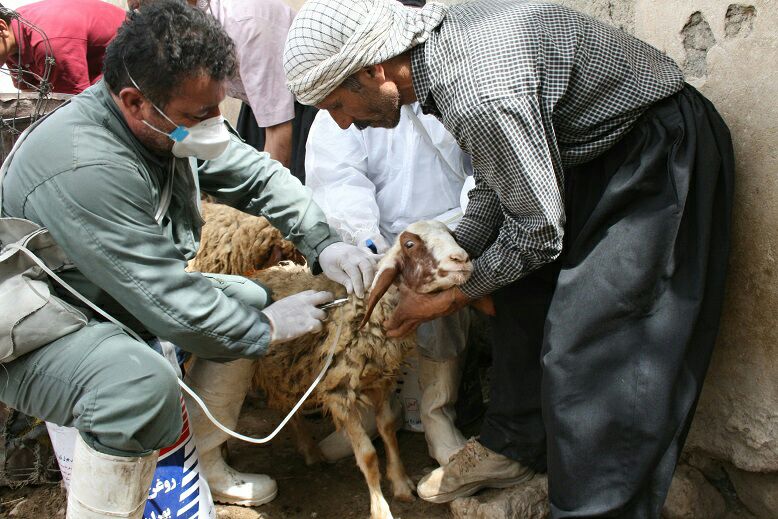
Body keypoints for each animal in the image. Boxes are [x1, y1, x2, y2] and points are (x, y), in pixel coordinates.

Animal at [250, 221, 472, 519]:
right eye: (409, 244)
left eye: (453, 234)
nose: (462, 259)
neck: (367, 308)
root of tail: (265, 270)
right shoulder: (339, 392)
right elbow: (367, 454)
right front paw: (380, 508)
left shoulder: (381, 381)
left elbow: (388, 429)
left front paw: (401, 484)